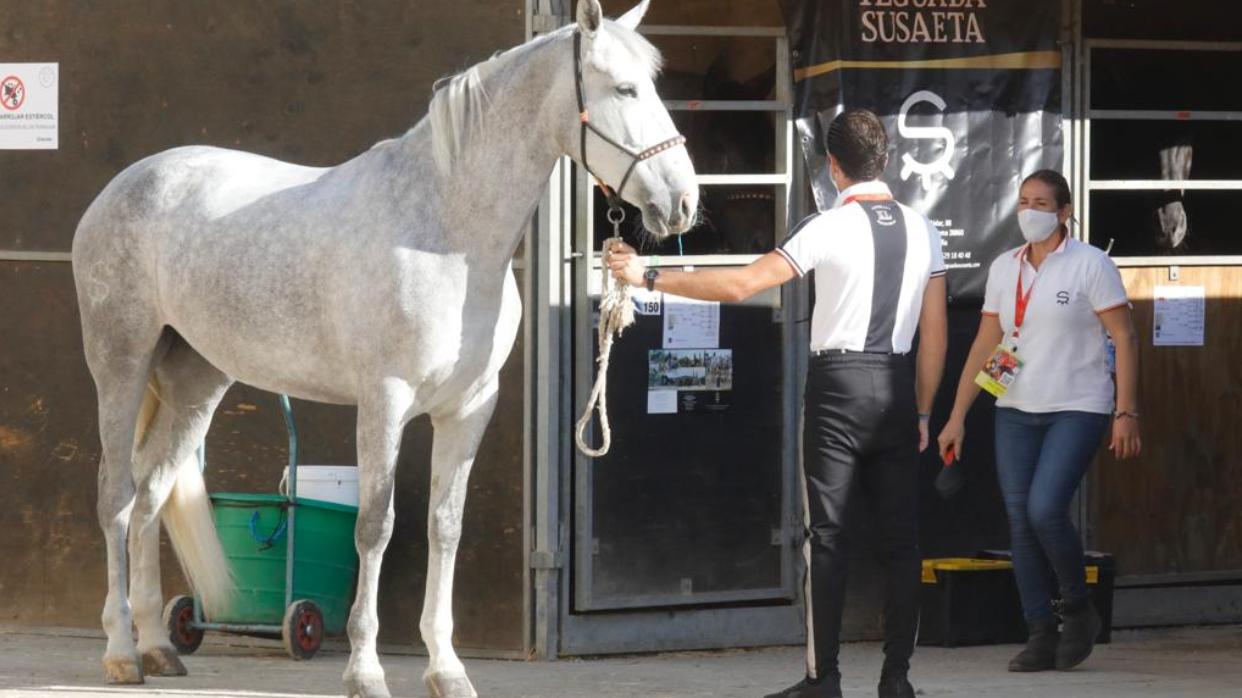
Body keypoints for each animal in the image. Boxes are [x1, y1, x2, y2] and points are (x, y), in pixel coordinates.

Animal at [72, 1, 700, 690]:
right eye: (625, 89)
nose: (682, 202)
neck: (446, 232)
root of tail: (126, 185)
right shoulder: (384, 402)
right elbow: (376, 526)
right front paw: (365, 670)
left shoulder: (470, 407)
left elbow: (444, 528)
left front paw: (447, 670)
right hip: (121, 364)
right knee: (116, 496)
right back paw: (122, 651)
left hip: (196, 383)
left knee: (151, 494)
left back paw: (159, 646)